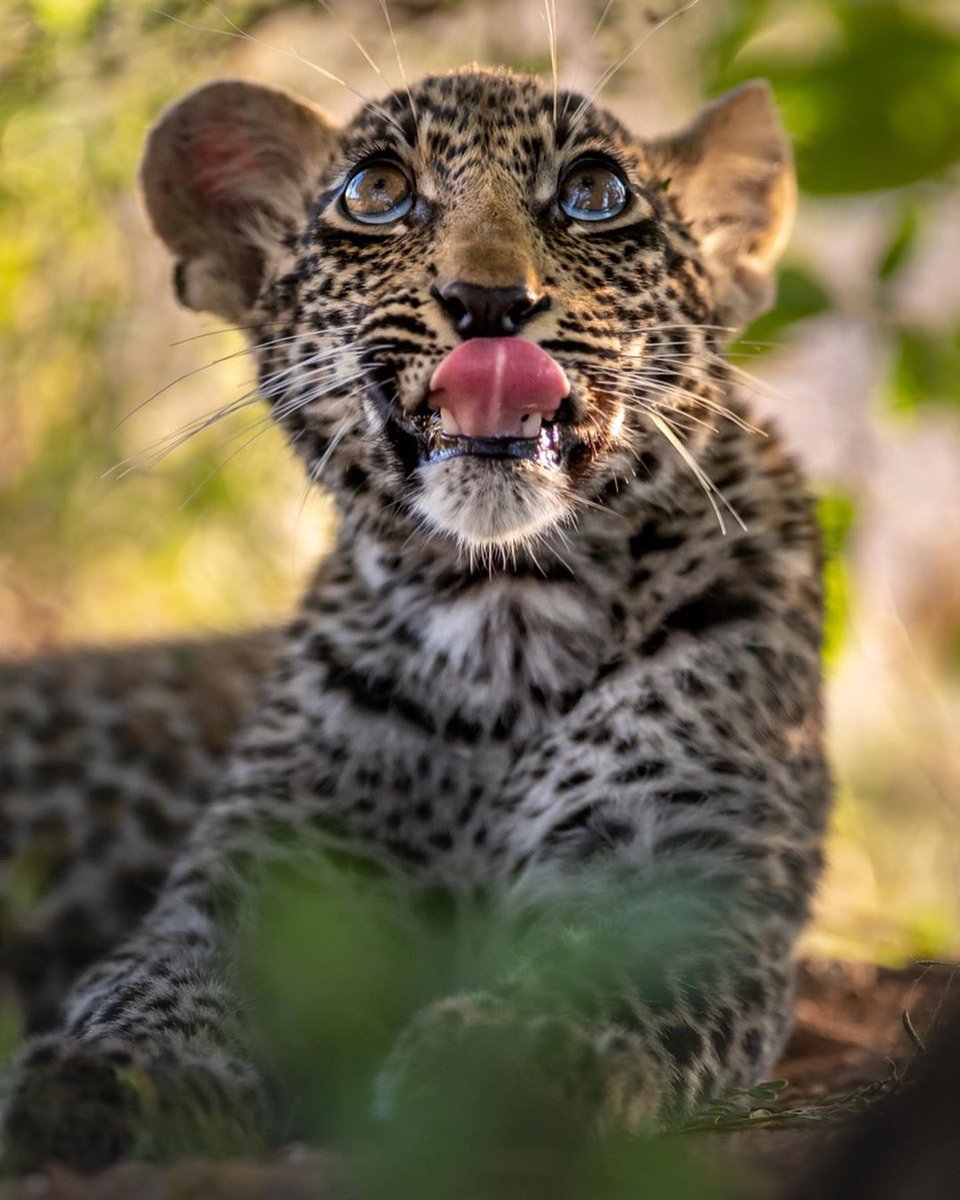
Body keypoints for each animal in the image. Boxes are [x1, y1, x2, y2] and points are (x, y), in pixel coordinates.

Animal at [0, 63, 829, 1175]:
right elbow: (158, 979)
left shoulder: (677, 867)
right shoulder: (265, 879)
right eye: (379, 191)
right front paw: (110, 1077)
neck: (501, 621)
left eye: (595, 194)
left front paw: (506, 1065)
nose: (490, 303)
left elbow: (596, 968)